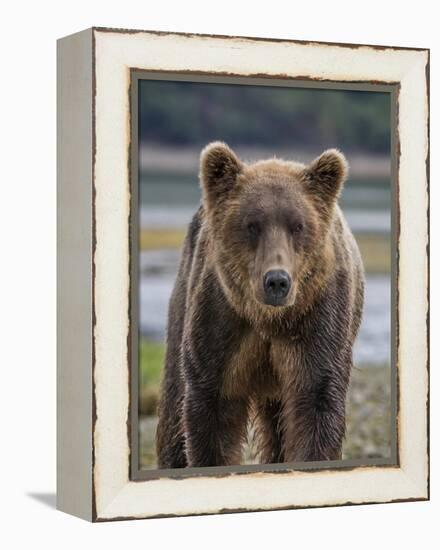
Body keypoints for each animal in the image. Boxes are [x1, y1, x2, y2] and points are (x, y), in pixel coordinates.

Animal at [156, 143, 362, 470]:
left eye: (298, 225)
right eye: (252, 225)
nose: (277, 281)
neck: (268, 319)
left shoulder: (317, 322)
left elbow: (316, 403)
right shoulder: (221, 321)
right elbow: (211, 409)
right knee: (174, 405)